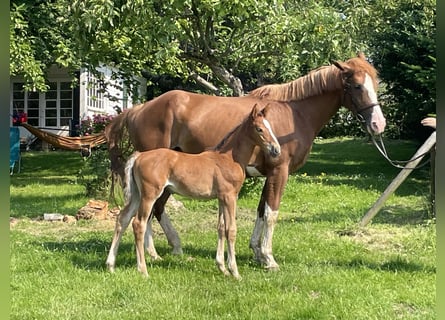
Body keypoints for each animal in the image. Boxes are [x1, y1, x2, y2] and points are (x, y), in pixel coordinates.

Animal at [106, 104, 280, 278]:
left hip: (136, 195)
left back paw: (111, 265)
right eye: (259, 129)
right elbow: (231, 230)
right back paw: (143, 270)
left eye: (270, 126)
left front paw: (222, 268)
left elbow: (221, 228)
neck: (228, 158)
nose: (276, 150)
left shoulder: (221, 198)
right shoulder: (230, 196)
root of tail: (138, 156)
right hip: (149, 195)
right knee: (138, 224)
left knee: (123, 218)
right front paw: (235, 272)